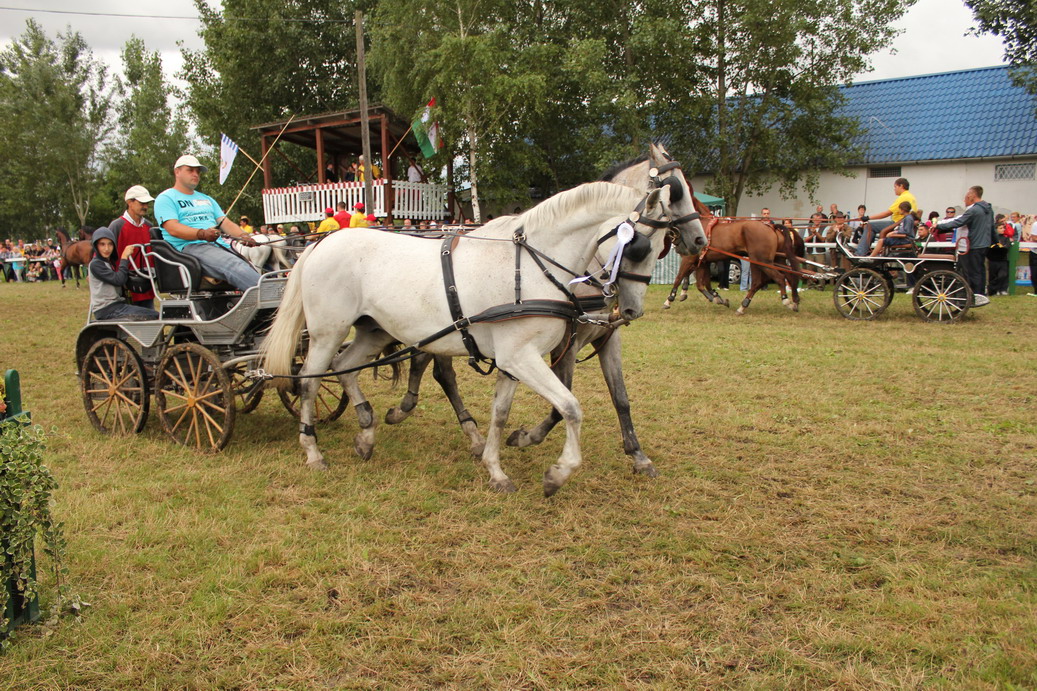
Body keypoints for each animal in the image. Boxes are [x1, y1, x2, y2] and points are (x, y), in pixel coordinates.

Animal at [261, 181, 685, 496]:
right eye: (639, 246)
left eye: (664, 246)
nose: (630, 310)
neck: (531, 266)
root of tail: (320, 244)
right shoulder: (520, 358)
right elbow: (570, 406)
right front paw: (557, 474)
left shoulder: (512, 361)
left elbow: (500, 414)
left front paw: (495, 469)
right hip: (327, 332)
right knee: (310, 382)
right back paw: (313, 451)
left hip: (373, 330)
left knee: (345, 368)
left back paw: (366, 432)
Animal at [382, 144, 705, 477]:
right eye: (677, 190)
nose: (700, 240)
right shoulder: (565, 343)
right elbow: (561, 402)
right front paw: (527, 437)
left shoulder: (607, 337)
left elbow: (621, 397)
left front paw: (638, 455)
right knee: (438, 370)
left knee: (426, 360)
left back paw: (414, 412)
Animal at [662, 200, 802, 314]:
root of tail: (771, 227)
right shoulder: (702, 262)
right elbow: (702, 284)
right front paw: (717, 298)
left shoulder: (690, 259)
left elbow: (679, 278)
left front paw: (669, 299)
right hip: (775, 260)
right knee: (784, 277)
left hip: (762, 261)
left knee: (778, 278)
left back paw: (786, 301)